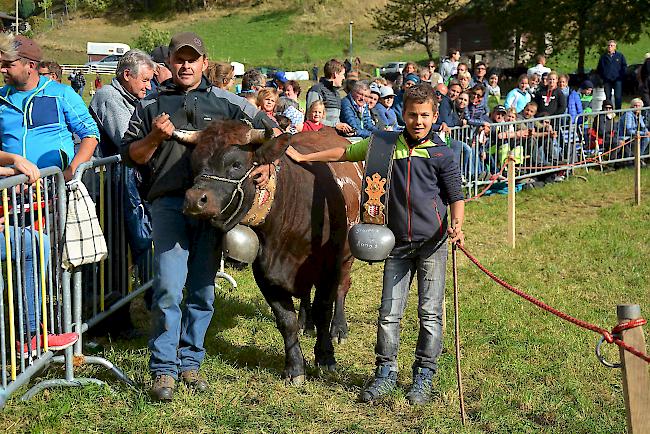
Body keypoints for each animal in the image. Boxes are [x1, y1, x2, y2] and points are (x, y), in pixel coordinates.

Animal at [177, 119, 360, 384]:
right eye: (194, 163)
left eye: (236, 164)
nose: (194, 199)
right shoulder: (266, 273)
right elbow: (286, 321)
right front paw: (295, 367)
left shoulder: (329, 266)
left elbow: (324, 309)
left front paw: (326, 358)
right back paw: (306, 323)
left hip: (346, 257)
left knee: (342, 288)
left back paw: (339, 328)